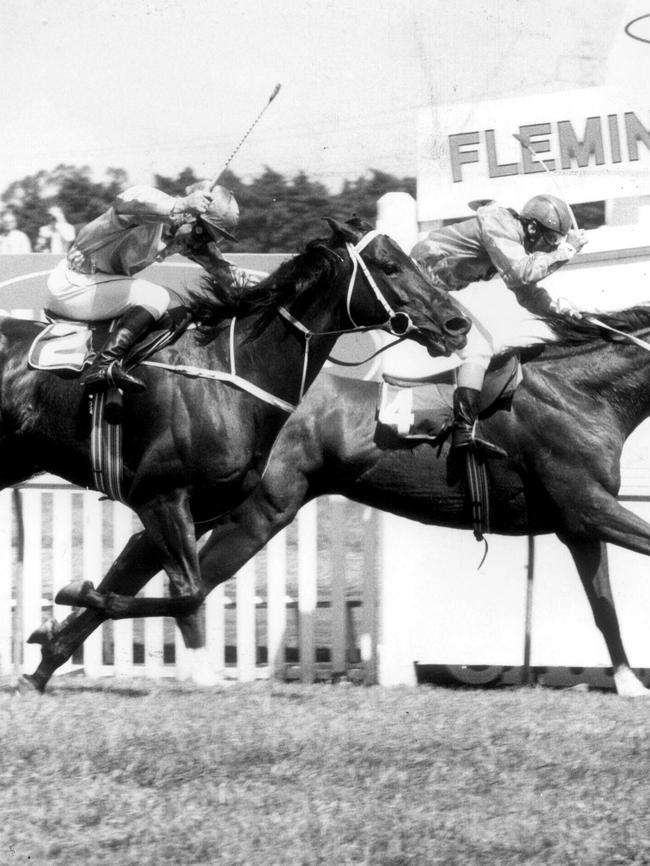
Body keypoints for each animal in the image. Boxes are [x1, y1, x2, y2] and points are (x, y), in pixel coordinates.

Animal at [1, 216, 470, 676]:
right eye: (390, 266)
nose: (457, 324)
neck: (235, 371)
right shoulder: (160, 497)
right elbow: (186, 593)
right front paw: (69, 596)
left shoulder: (203, 509)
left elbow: (138, 582)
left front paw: (48, 649)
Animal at [27, 308, 650, 692]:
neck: (579, 393)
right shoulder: (588, 505)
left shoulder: (578, 525)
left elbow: (604, 608)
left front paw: (627, 683)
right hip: (262, 510)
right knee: (188, 586)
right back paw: (71, 614)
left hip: (213, 504)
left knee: (147, 559)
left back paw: (51, 649)